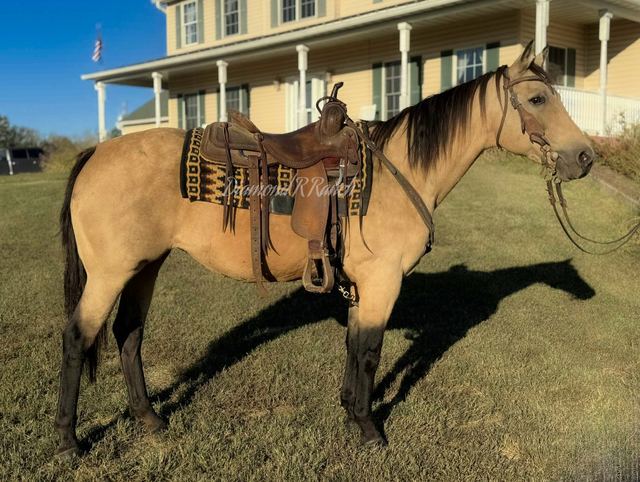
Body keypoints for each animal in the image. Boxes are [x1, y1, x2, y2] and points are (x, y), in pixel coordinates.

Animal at [54, 42, 594, 456]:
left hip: (145, 266)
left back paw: (148, 419)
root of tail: (96, 153)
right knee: (79, 337)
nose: (586, 157)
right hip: (110, 274)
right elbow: (371, 352)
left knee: (128, 334)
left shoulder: (364, 285)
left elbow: (355, 346)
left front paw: (349, 411)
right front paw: (370, 428)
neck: (400, 172)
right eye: (538, 98)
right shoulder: (382, 281)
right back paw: (68, 440)